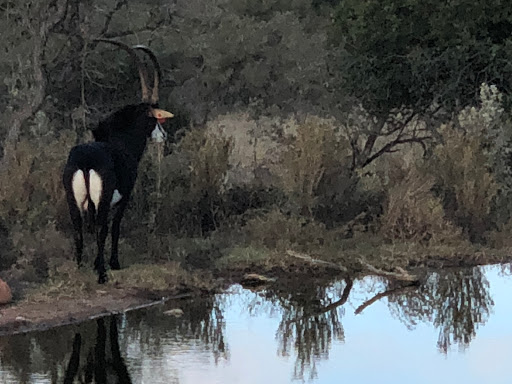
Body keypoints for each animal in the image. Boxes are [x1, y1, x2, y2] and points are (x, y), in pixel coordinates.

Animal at [61, 39, 174, 282]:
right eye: (154, 119)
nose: (163, 136)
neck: (120, 141)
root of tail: (86, 161)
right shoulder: (125, 196)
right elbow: (115, 227)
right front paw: (113, 263)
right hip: (102, 199)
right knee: (101, 227)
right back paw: (102, 274)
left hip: (73, 201)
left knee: (78, 229)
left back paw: (79, 269)